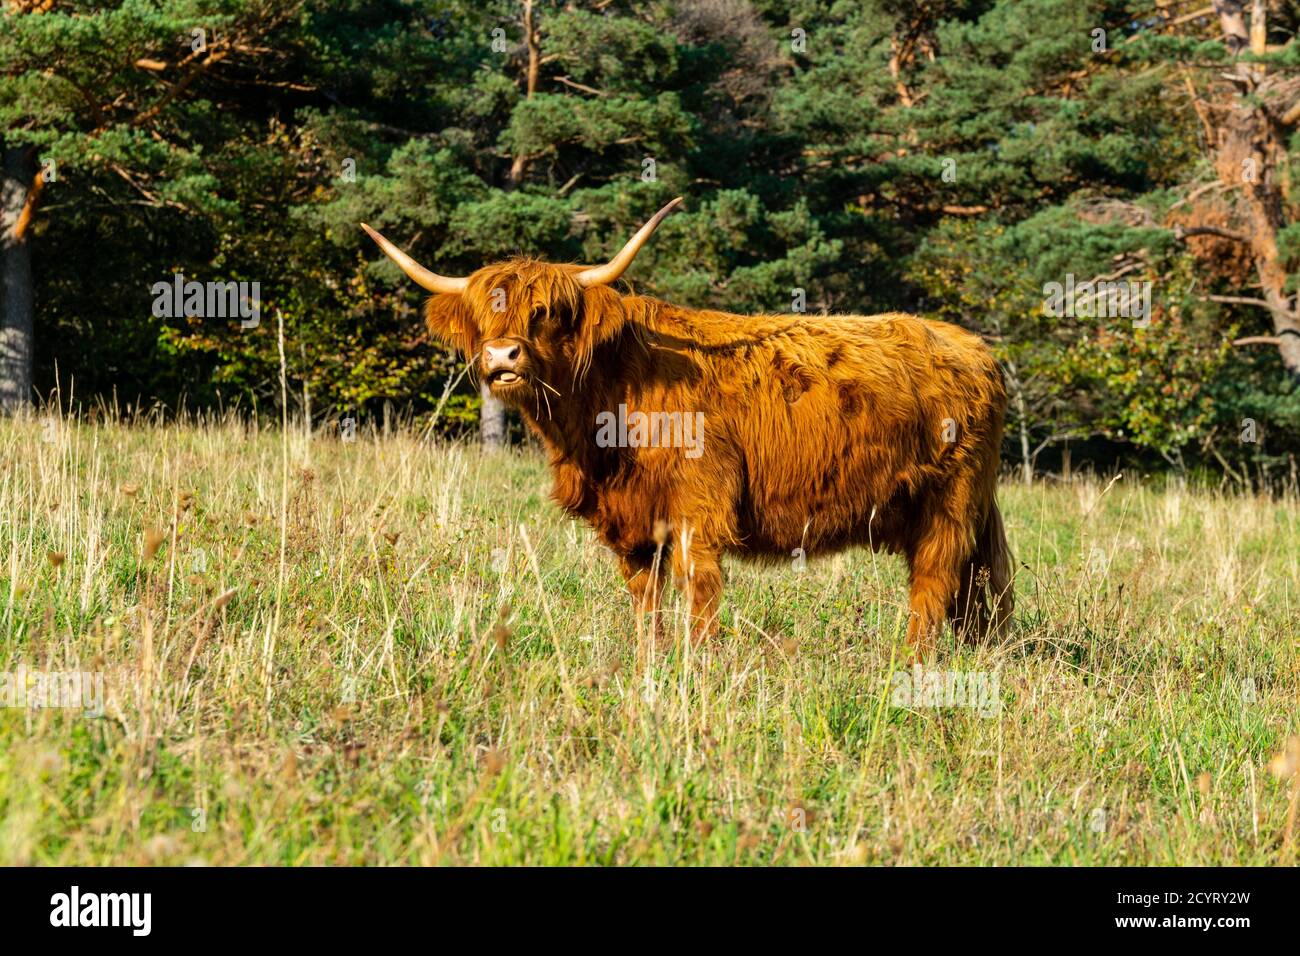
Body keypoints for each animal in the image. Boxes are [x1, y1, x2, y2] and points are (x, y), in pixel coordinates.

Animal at [361, 198, 1013, 661]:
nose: (502, 356)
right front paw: (650, 658)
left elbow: (698, 584)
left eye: (547, 313)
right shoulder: (627, 519)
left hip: (949, 505)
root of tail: (972, 346)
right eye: (482, 316)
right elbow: (643, 593)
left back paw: (912, 665)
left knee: (932, 584)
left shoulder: (699, 502)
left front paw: (698, 661)